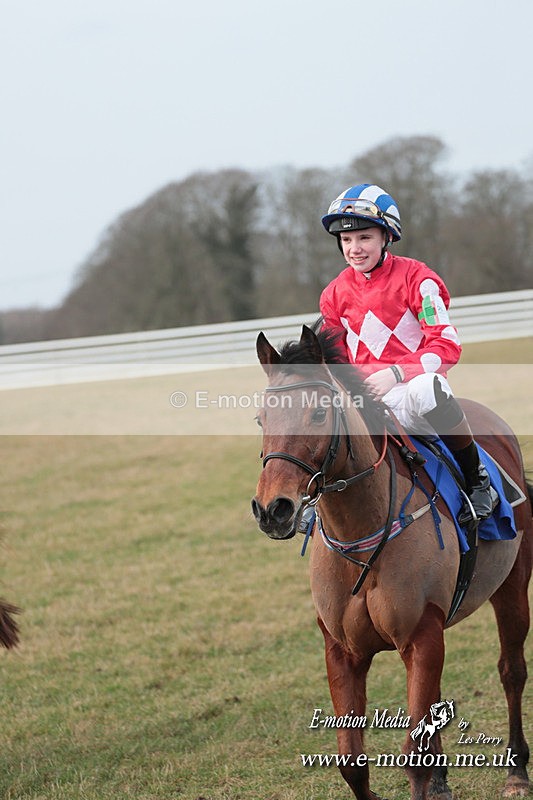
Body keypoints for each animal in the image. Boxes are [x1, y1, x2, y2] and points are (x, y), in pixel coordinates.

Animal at [251, 325, 532, 800]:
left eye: (318, 414)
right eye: (261, 419)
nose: (273, 509)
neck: (362, 542)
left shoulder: (420, 636)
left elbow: (412, 756)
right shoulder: (342, 650)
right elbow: (351, 761)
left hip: (512, 586)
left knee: (511, 671)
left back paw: (516, 770)